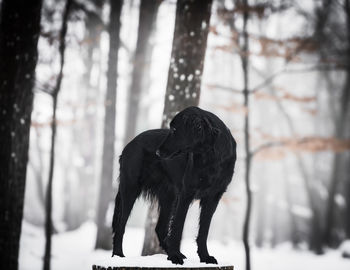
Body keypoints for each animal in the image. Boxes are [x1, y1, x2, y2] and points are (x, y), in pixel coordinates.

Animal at [113, 106, 238, 264]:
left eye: (174, 129)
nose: (157, 152)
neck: (211, 157)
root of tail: (129, 145)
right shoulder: (186, 194)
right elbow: (177, 227)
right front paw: (175, 255)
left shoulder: (213, 197)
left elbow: (203, 231)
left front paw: (204, 256)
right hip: (130, 189)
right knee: (120, 224)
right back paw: (118, 254)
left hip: (168, 196)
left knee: (160, 228)